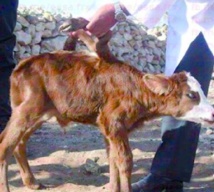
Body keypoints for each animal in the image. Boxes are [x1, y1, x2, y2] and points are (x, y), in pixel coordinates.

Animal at [0, 30, 214, 192]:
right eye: (191, 95)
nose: (212, 113)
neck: (136, 90)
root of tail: (22, 65)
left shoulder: (111, 128)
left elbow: (113, 158)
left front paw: (113, 187)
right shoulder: (113, 121)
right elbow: (125, 160)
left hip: (41, 113)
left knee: (19, 144)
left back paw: (32, 182)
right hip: (27, 109)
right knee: (5, 145)